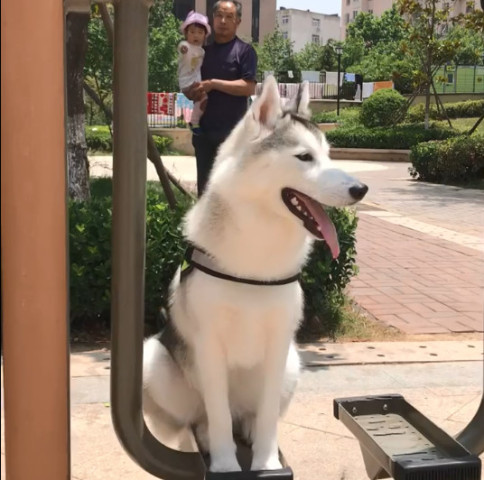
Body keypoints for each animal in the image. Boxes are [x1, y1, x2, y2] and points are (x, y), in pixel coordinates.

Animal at [143, 76, 366, 472]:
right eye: (304, 157)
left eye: (329, 155)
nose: (361, 189)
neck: (255, 260)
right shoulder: (210, 346)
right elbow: (217, 415)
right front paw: (224, 464)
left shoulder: (279, 344)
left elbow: (266, 418)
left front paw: (267, 462)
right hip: (153, 359)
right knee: (203, 417)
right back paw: (205, 435)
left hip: (293, 363)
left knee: (249, 415)